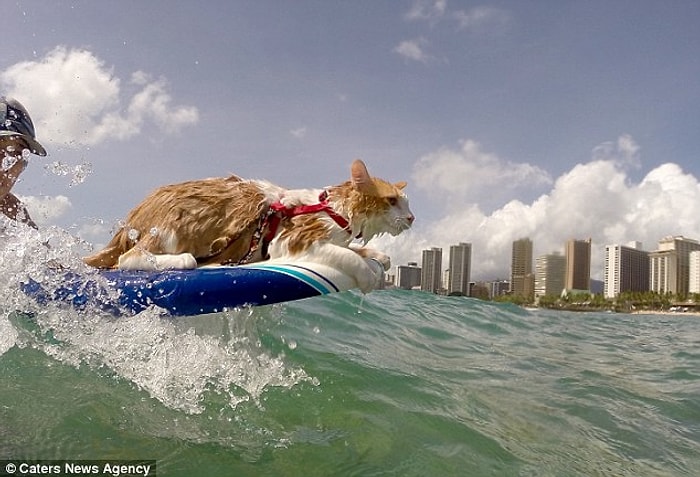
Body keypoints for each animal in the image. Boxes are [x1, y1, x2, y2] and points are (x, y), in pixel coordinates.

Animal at [82, 160, 412, 292]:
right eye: (393, 201)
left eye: (407, 204)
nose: (412, 218)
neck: (335, 210)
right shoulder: (294, 241)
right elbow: (347, 255)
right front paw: (368, 275)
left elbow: (361, 250)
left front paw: (378, 257)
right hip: (177, 225)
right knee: (131, 259)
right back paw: (189, 261)